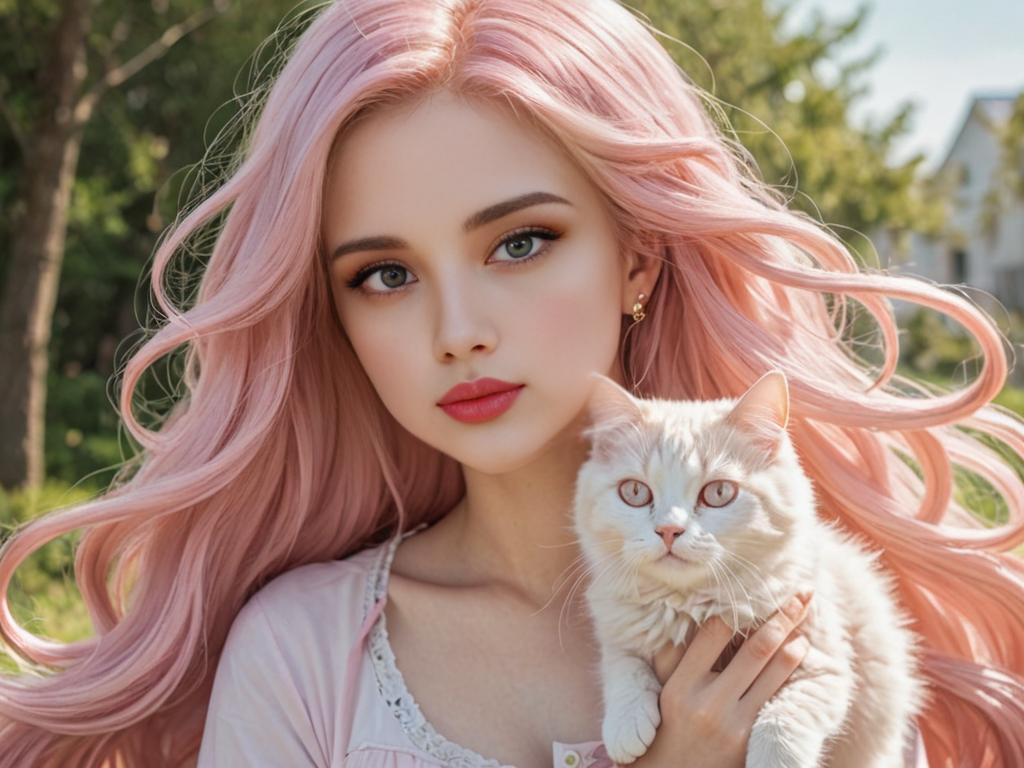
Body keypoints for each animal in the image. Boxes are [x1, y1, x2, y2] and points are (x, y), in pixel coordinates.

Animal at [573, 370, 933, 765]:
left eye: (718, 494)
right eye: (635, 493)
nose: (669, 530)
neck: (693, 606)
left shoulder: (824, 662)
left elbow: (782, 718)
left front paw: (775, 757)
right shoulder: (619, 628)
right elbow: (623, 665)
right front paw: (626, 724)